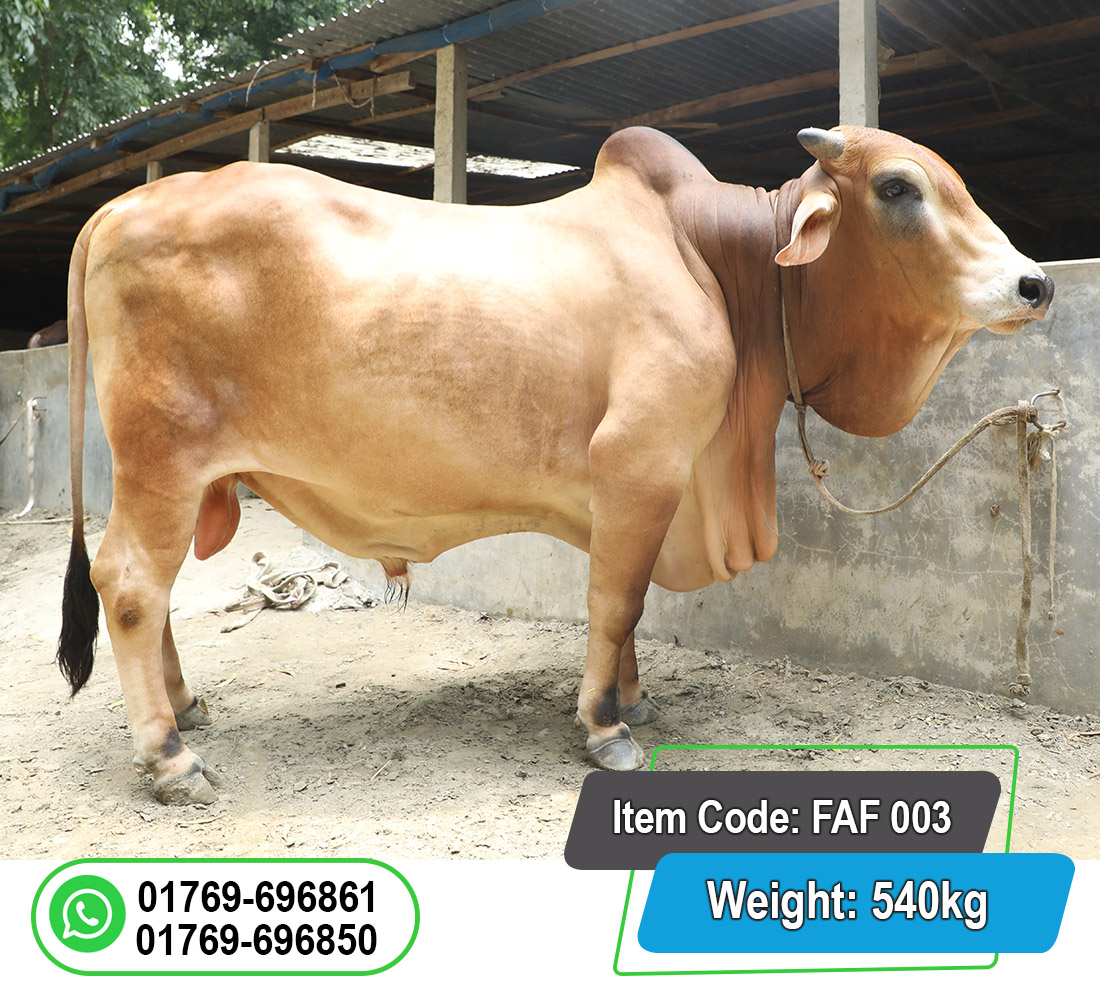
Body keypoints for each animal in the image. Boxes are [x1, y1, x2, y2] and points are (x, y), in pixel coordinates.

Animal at [58, 125, 1053, 805]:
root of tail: (122, 205)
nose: (1036, 283)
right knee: (132, 585)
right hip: (161, 461)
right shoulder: (641, 465)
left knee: (151, 592)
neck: (714, 261)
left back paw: (185, 708)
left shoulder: (647, 490)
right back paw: (170, 757)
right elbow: (615, 603)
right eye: (897, 186)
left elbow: (633, 605)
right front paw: (606, 728)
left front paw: (632, 698)